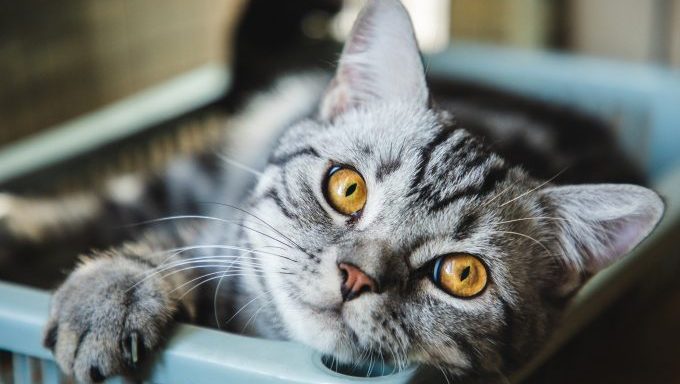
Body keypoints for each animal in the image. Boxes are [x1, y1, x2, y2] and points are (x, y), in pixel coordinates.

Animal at [1, 0, 664, 384]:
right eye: (346, 188)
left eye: (462, 275)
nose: (356, 276)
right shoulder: (218, 234)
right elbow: (169, 247)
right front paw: (114, 291)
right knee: (104, 203)